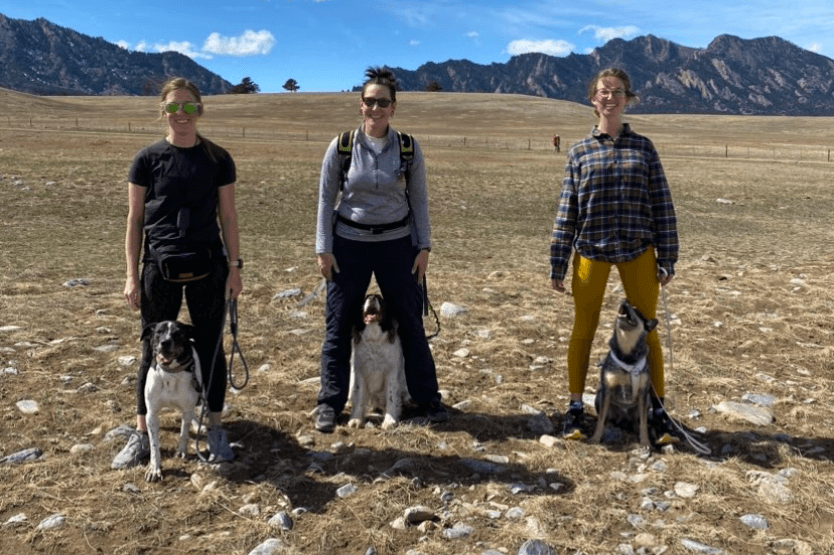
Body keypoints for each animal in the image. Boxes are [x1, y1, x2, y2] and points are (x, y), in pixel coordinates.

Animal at [141, 322, 203, 482]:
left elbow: (184, 432)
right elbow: (154, 445)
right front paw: (154, 469)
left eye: (178, 333)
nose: (165, 342)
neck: (169, 373)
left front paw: (181, 450)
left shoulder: (187, 408)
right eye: (158, 332)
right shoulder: (151, 415)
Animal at [346, 296, 408, 430]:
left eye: (380, 299)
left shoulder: (391, 372)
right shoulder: (360, 371)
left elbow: (391, 396)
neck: (374, 338)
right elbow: (359, 394)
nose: (372, 297)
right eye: (365, 299)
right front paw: (356, 419)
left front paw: (390, 420)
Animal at [584, 300, 656, 448]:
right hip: (599, 396)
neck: (626, 355)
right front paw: (595, 438)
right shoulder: (607, 389)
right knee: (606, 418)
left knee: (637, 421)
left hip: (647, 401)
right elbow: (600, 420)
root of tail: (623, 418)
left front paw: (645, 442)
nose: (624, 300)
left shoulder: (643, 392)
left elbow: (644, 423)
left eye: (636, 309)